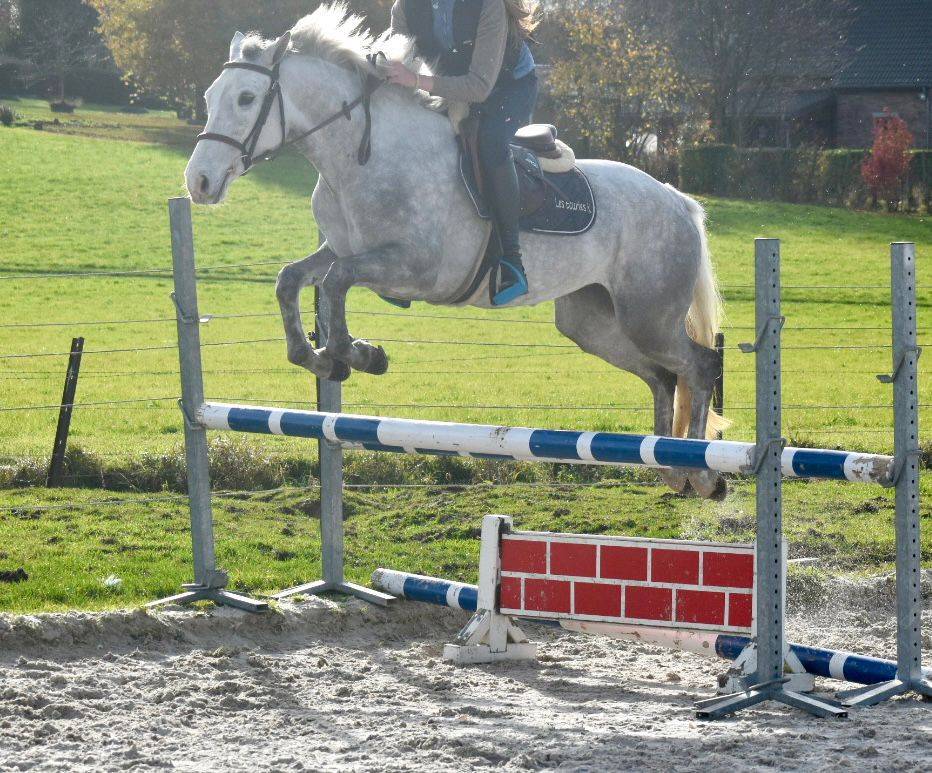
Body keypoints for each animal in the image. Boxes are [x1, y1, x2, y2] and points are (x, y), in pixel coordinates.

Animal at [183, 3, 727, 499]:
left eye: (247, 98)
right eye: (209, 97)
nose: (199, 183)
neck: (360, 157)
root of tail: (676, 199)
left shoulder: (416, 270)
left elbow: (337, 283)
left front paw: (359, 355)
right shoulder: (339, 248)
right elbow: (291, 279)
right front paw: (321, 358)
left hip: (648, 315)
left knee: (698, 367)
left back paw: (703, 475)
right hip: (593, 322)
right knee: (662, 376)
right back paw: (671, 466)